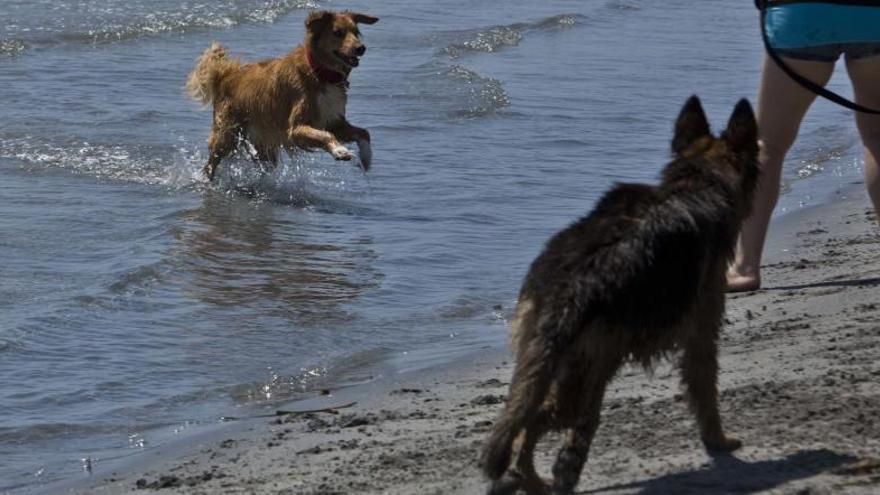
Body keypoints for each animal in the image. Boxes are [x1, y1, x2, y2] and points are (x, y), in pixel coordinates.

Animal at [478, 97, 760, 495]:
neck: (696, 181)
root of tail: (569, 287)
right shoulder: (701, 336)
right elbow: (706, 393)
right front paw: (718, 441)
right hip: (585, 372)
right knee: (544, 423)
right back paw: (543, 477)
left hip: (554, 360)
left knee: (528, 424)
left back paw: (529, 478)